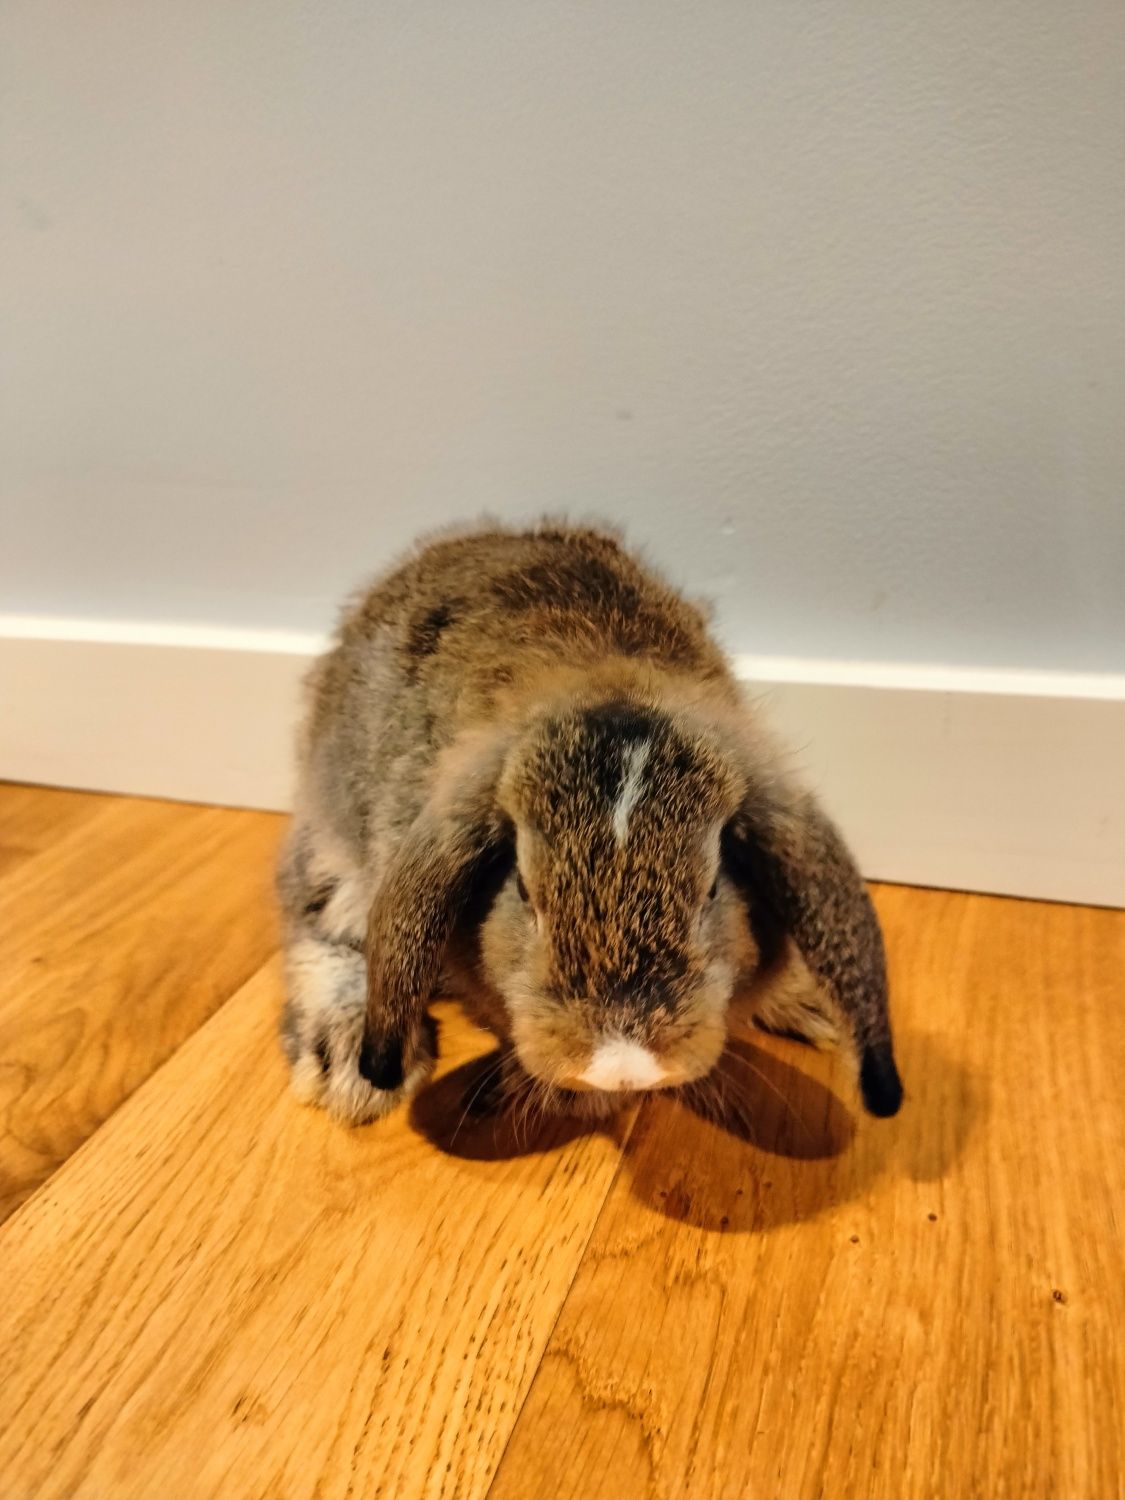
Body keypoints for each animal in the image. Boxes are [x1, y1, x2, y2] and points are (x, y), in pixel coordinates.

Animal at [277, 525, 906, 1128]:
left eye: (712, 889)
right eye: (523, 889)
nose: (621, 1065)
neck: (607, 677)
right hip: (332, 850)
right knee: (322, 927)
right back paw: (346, 1068)